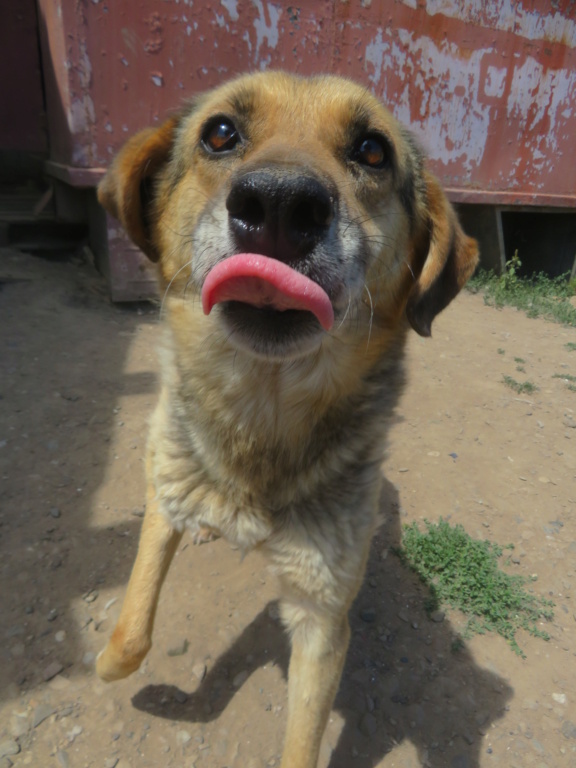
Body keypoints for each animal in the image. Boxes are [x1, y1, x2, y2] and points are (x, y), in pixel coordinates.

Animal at [97, 72, 480, 768]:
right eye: (220, 133)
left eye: (372, 150)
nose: (279, 203)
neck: (261, 411)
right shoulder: (166, 494)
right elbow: (135, 623)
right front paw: (108, 665)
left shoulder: (321, 616)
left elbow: (303, 738)